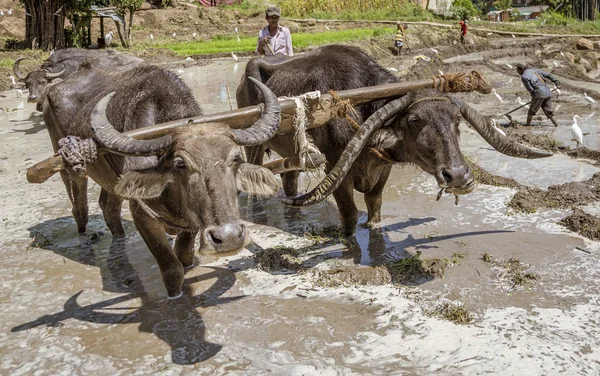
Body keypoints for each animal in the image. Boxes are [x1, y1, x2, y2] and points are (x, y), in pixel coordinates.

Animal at [44, 64, 282, 296]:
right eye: (181, 164)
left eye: (235, 158)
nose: (229, 237)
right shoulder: (142, 215)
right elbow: (171, 268)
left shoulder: (190, 221)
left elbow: (184, 255)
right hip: (68, 162)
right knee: (78, 199)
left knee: (108, 205)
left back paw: (119, 236)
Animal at [237, 44, 552, 235]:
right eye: (414, 120)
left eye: (457, 121)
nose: (458, 176)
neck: (360, 105)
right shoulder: (336, 169)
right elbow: (350, 214)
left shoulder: (383, 168)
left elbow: (374, 205)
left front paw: (375, 227)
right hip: (255, 142)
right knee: (253, 173)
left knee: (289, 177)